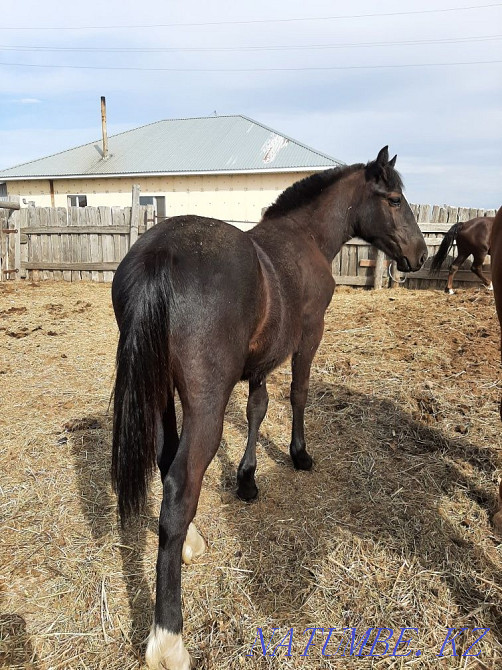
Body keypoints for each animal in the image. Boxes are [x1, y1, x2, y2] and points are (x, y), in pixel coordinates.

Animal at [110, 146, 428, 670]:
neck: (305, 239)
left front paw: (248, 478)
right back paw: (168, 639)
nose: (419, 256)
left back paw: (190, 542)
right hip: (204, 405)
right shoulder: (309, 335)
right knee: (179, 488)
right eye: (396, 199)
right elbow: (299, 393)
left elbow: (257, 409)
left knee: (166, 460)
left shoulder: (260, 362)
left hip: (161, 392)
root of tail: (160, 255)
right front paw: (299, 454)